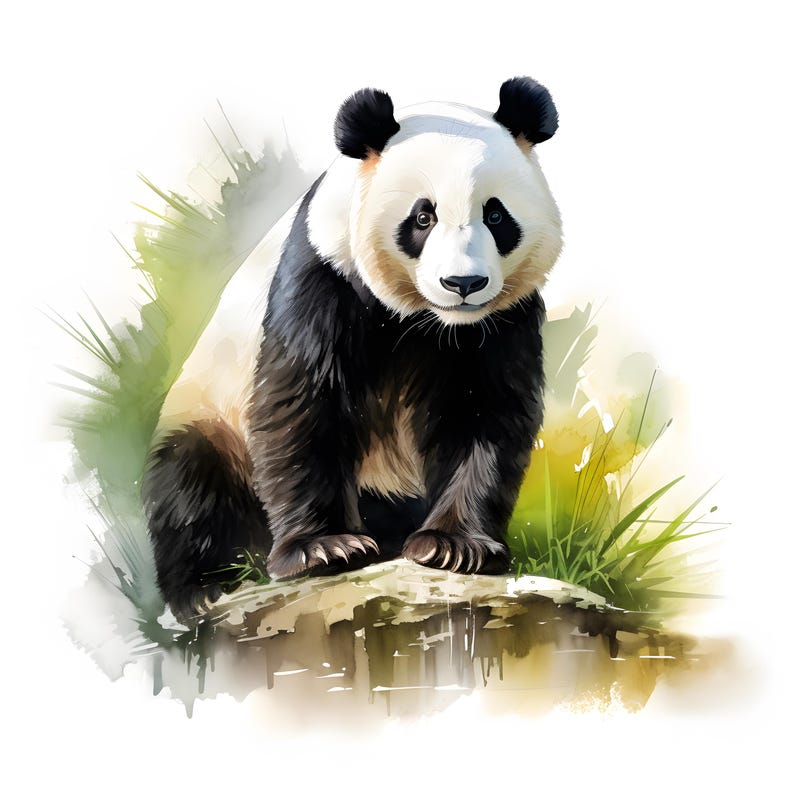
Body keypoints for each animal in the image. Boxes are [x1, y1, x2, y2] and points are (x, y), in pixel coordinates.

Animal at [142, 77, 562, 619]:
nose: (463, 283)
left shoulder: (502, 318)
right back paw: (203, 589)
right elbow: (304, 399)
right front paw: (326, 548)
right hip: (212, 408)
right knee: (190, 481)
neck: (432, 321)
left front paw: (454, 546)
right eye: (422, 217)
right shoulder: (324, 272)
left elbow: (485, 413)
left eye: (495, 214)